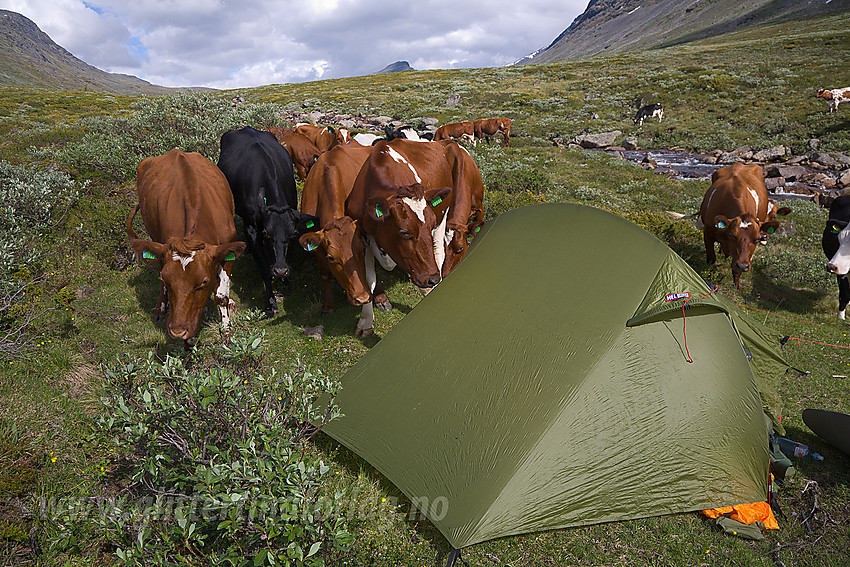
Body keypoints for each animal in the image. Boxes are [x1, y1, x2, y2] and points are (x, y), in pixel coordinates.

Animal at [126, 149, 245, 348]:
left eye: (204, 282)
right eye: (167, 279)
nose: (177, 331)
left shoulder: (228, 252)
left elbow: (221, 295)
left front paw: (227, 332)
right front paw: (189, 342)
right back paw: (160, 308)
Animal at [215, 126, 318, 318]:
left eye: (293, 234)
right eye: (266, 233)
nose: (280, 270)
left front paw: (285, 282)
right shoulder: (252, 229)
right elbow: (264, 266)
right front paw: (271, 302)